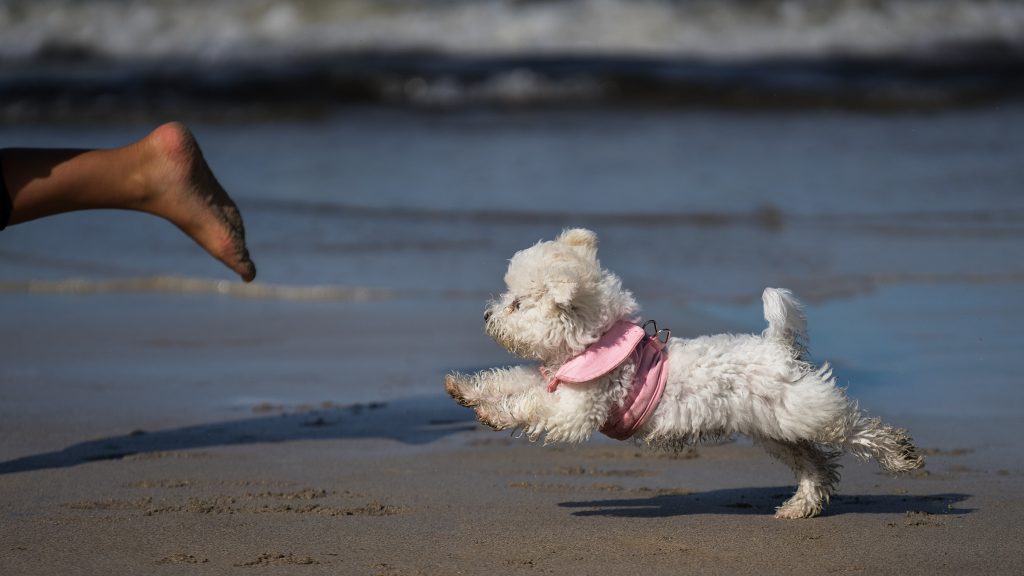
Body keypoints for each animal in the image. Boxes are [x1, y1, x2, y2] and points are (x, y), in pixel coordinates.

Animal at [444, 227, 925, 516]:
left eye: (516, 304)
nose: (486, 315)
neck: (596, 344)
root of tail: (778, 345)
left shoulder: (576, 410)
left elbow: (529, 406)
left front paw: (493, 412)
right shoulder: (551, 380)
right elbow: (508, 379)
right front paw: (465, 389)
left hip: (806, 412)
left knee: (855, 429)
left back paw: (901, 455)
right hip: (776, 430)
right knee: (817, 465)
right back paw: (799, 506)